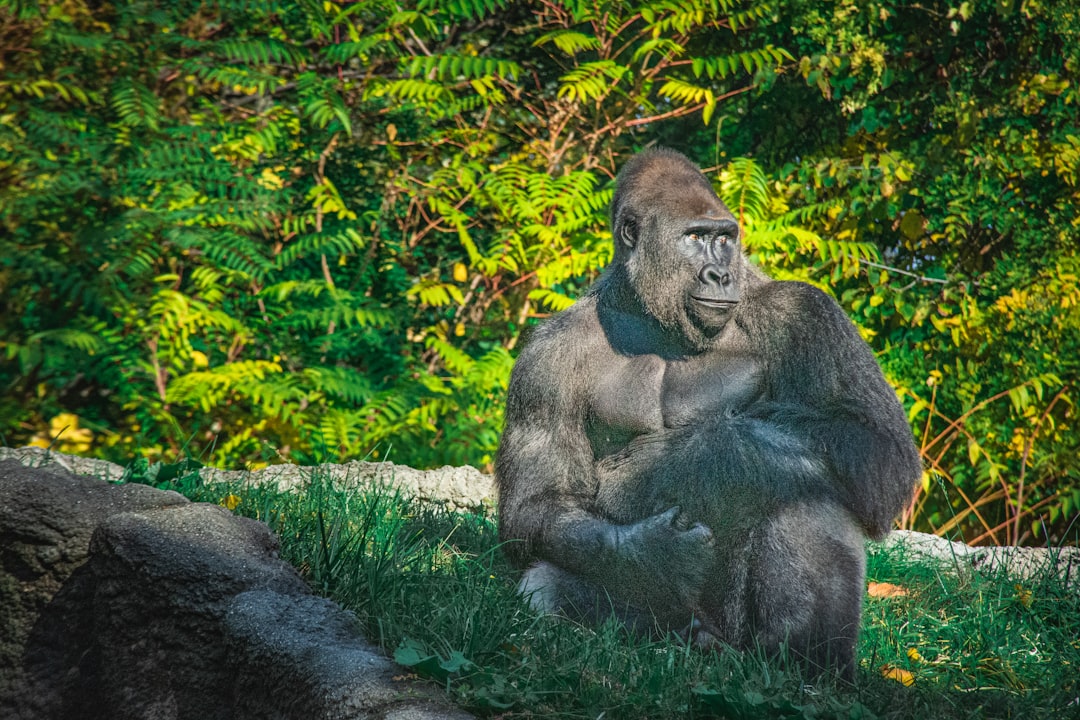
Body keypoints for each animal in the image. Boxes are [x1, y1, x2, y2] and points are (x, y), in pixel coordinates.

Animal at [494, 148, 924, 677]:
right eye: (695, 238)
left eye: (725, 239)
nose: (721, 275)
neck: (650, 313)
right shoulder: (544, 358)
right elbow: (538, 505)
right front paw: (651, 553)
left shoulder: (805, 313)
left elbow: (876, 447)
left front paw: (704, 455)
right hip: (662, 627)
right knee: (546, 584)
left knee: (808, 487)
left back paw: (804, 664)